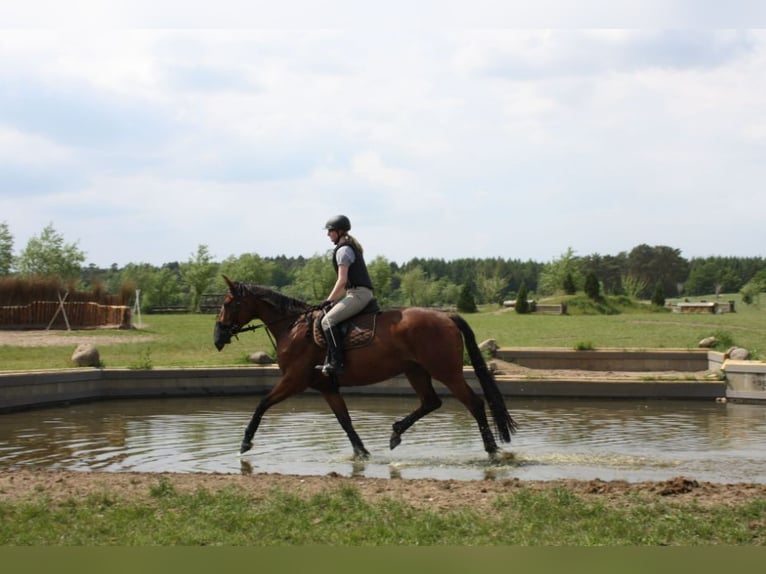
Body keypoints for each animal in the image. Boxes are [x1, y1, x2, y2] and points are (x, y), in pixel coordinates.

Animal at [213, 276, 520, 462]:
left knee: (474, 403)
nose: (217, 338)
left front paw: (245, 443)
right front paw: (361, 452)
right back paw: (396, 433)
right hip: (415, 370)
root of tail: (447, 316)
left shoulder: (294, 380)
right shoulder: (326, 386)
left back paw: (492, 451)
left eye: (227, 303)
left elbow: (262, 404)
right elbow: (345, 420)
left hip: (446, 372)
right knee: (430, 402)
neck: (292, 326)